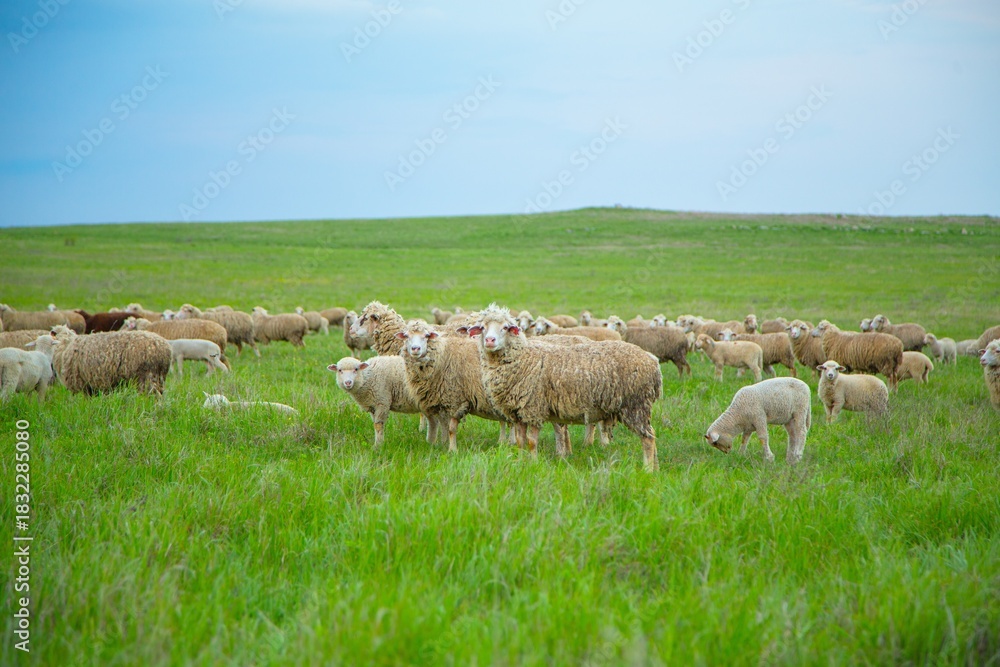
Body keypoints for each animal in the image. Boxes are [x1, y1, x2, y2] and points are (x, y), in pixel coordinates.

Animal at [395, 318, 505, 452]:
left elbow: (451, 428)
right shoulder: (441, 401)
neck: (442, 356)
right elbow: (444, 426)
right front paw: (443, 444)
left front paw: (452, 450)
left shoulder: (455, 400)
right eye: (406, 336)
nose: (415, 348)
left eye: (426, 336)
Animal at [467, 304, 663, 470]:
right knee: (652, 434)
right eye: (482, 327)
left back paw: (647, 470)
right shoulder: (519, 412)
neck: (523, 358)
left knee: (648, 438)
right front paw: (522, 462)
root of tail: (652, 361)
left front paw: (533, 464)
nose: (490, 340)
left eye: (505, 328)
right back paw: (656, 467)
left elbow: (531, 441)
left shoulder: (534, 407)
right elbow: (520, 441)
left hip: (635, 404)